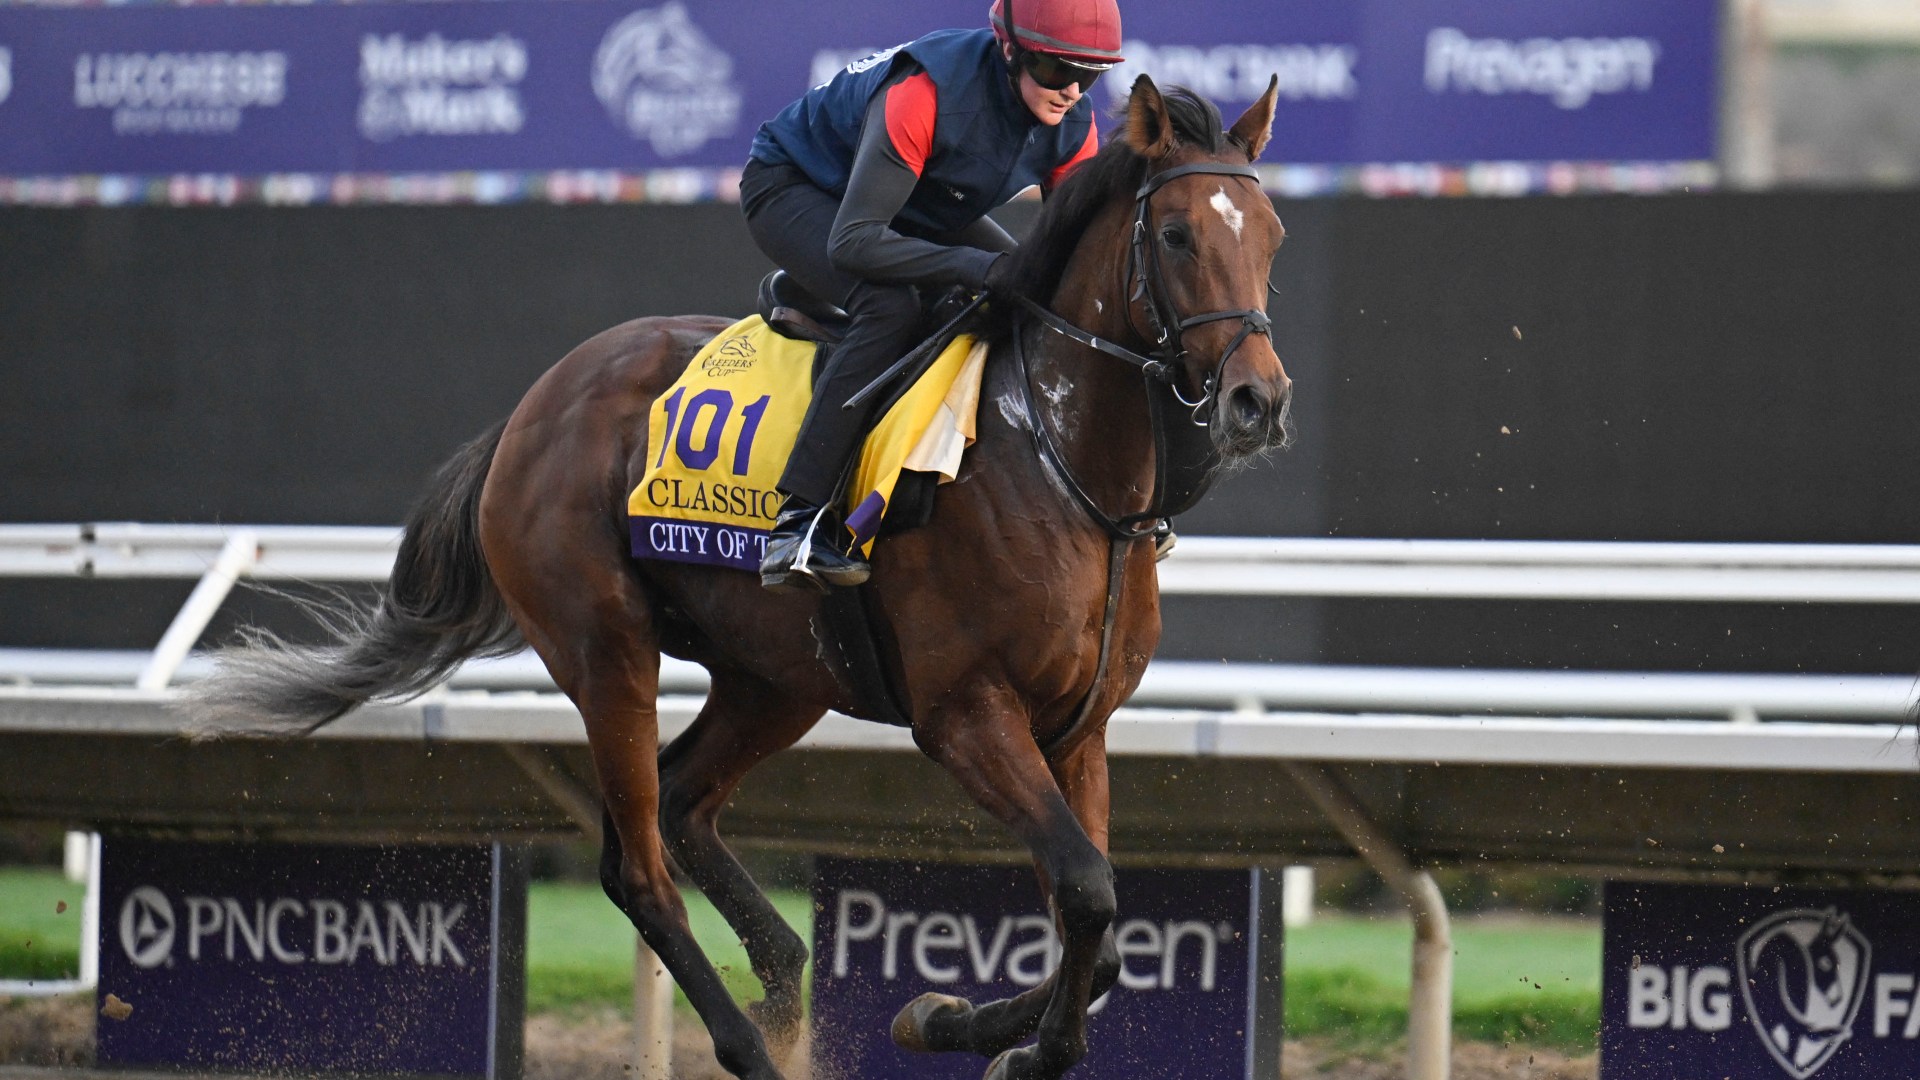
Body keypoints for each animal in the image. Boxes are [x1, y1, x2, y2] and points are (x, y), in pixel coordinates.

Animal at [187, 75, 1290, 1076]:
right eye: (1178, 236)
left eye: (1272, 235)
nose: (1258, 400)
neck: (1057, 462)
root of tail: (532, 409)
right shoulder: (965, 712)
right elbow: (1089, 892)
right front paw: (984, 1037)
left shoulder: (1079, 727)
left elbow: (1095, 921)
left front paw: (952, 1021)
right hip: (606, 647)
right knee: (637, 864)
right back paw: (751, 1044)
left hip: (778, 677)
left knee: (681, 800)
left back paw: (785, 981)